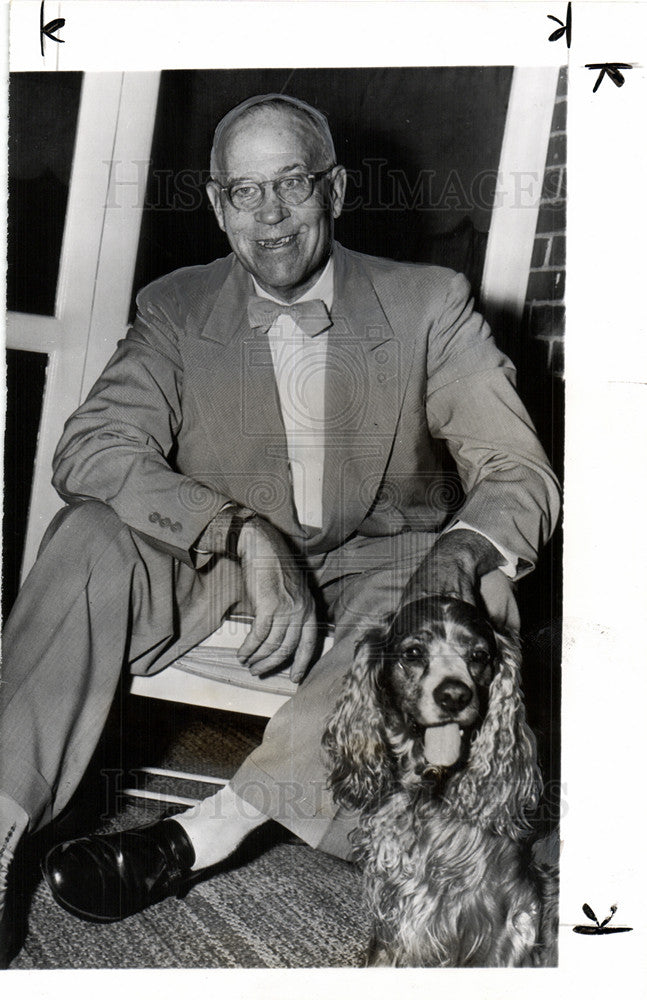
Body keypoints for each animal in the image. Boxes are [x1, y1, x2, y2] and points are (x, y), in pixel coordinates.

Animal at [324, 596, 556, 964]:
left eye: (479, 656)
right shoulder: (391, 919)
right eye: (413, 653)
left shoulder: (502, 926)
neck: (427, 794)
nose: (454, 695)